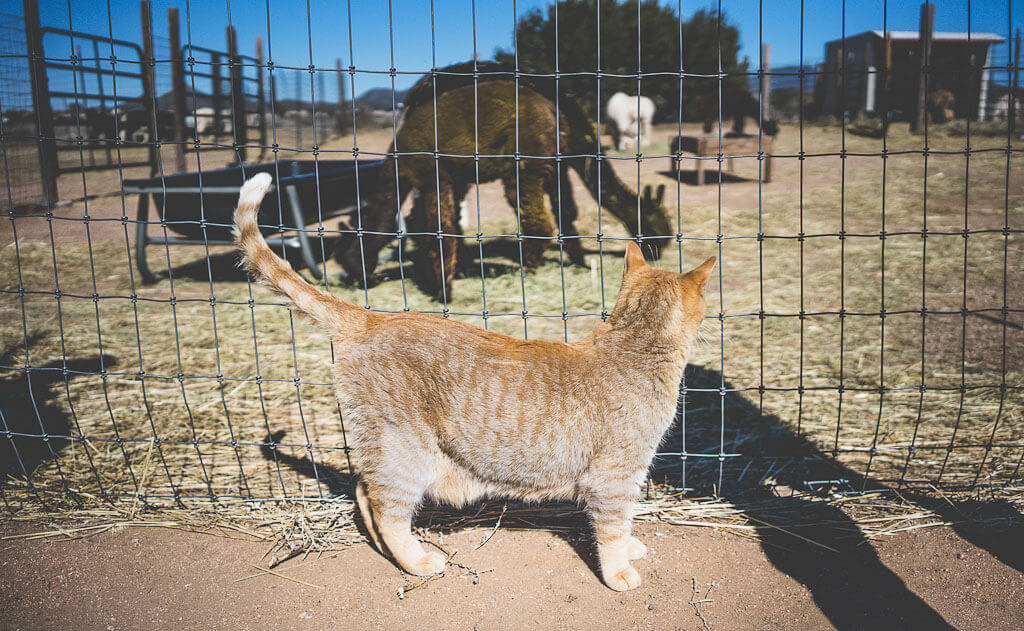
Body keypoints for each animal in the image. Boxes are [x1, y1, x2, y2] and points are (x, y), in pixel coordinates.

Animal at [234, 174, 712, 590]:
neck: (632, 343)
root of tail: (370, 318)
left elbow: (625, 522)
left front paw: (630, 547)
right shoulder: (615, 477)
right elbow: (611, 528)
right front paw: (619, 572)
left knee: (363, 492)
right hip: (407, 454)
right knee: (386, 509)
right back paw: (416, 561)